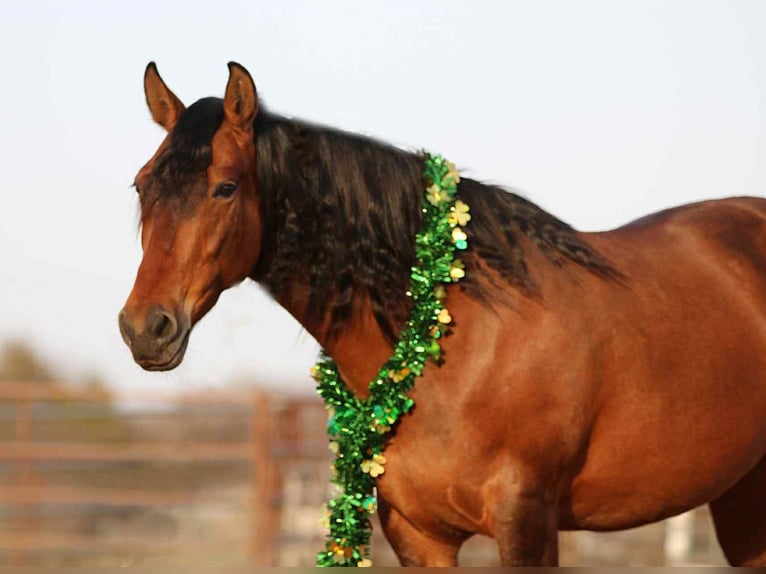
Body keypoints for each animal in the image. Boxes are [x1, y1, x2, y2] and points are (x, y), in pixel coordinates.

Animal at [118, 62, 766, 566]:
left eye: (225, 187)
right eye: (142, 186)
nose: (146, 328)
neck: (452, 337)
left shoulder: (526, 522)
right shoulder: (418, 535)